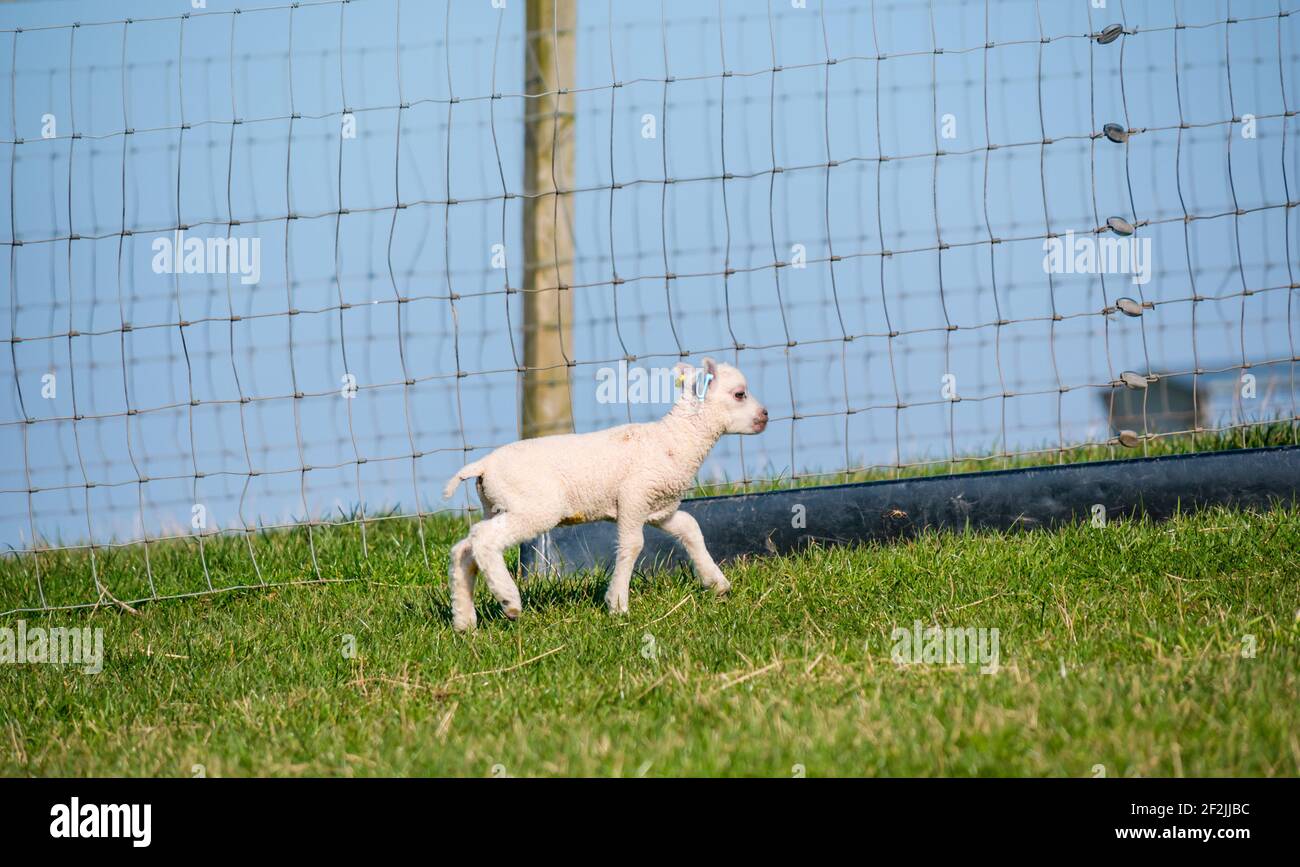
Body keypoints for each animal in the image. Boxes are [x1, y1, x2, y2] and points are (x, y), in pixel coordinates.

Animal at [444, 356, 764, 634]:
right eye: (739, 394)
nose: (765, 416)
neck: (674, 440)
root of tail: (483, 465)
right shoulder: (634, 496)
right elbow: (633, 545)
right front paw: (618, 604)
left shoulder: (658, 507)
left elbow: (690, 527)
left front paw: (717, 583)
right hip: (533, 505)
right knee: (484, 539)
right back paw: (509, 601)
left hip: (498, 504)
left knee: (465, 548)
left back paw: (464, 621)